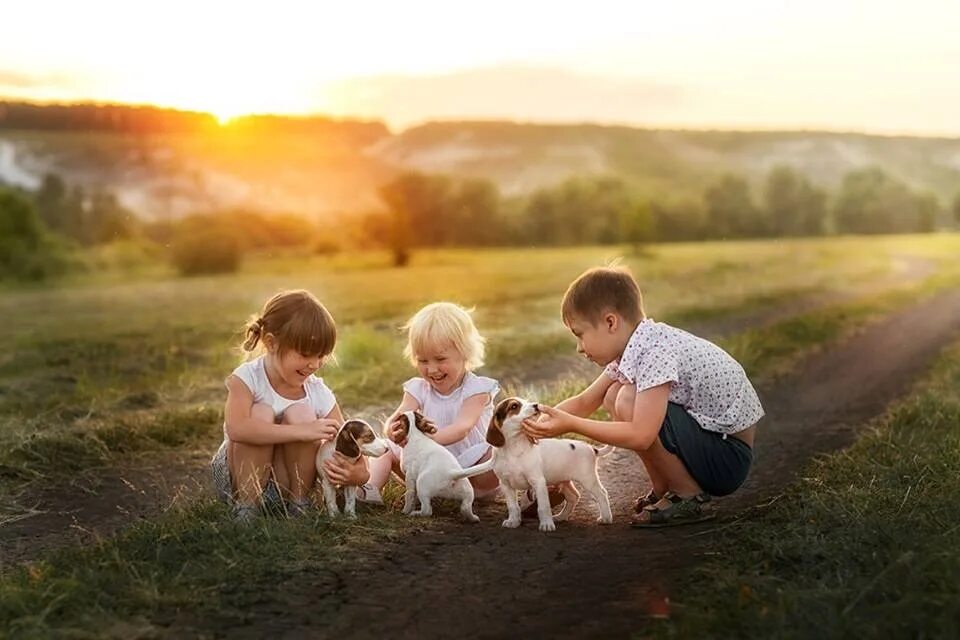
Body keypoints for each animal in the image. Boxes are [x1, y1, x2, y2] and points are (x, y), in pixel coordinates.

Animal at [488, 398, 616, 532]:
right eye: (514, 406)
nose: (536, 405)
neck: (514, 447)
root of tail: (591, 447)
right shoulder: (506, 485)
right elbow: (512, 506)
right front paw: (513, 521)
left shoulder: (538, 482)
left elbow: (543, 507)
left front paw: (546, 524)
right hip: (564, 481)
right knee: (573, 496)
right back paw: (562, 516)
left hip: (588, 480)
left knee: (602, 494)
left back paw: (606, 518)